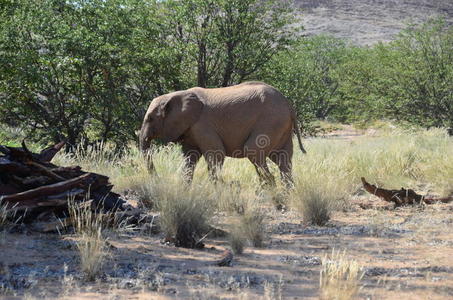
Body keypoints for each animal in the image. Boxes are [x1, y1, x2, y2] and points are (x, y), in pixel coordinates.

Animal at [139, 81, 306, 185]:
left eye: (150, 118)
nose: (159, 179)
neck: (177, 95)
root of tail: (288, 104)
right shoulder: (190, 129)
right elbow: (190, 157)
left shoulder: (202, 125)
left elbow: (216, 153)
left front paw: (218, 188)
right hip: (281, 126)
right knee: (283, 159)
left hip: (270, 121)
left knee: (253, 150)